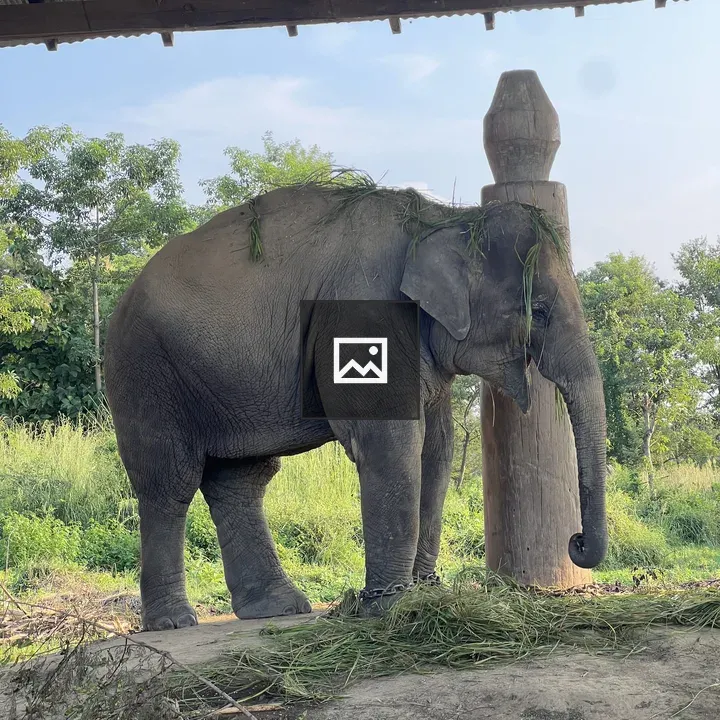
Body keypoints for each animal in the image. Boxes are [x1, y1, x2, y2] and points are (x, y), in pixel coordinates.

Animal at [104, 183, 607, 631]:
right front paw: (390, 608)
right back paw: (173, 622)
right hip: (145, 373)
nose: (576, 540)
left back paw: (279, 608)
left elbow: (436, 451)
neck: (443, 218)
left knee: (240, 479)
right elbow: (392, 444)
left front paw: (425, 596)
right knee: (169, 483)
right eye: (538, 310)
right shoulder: (365, 316)